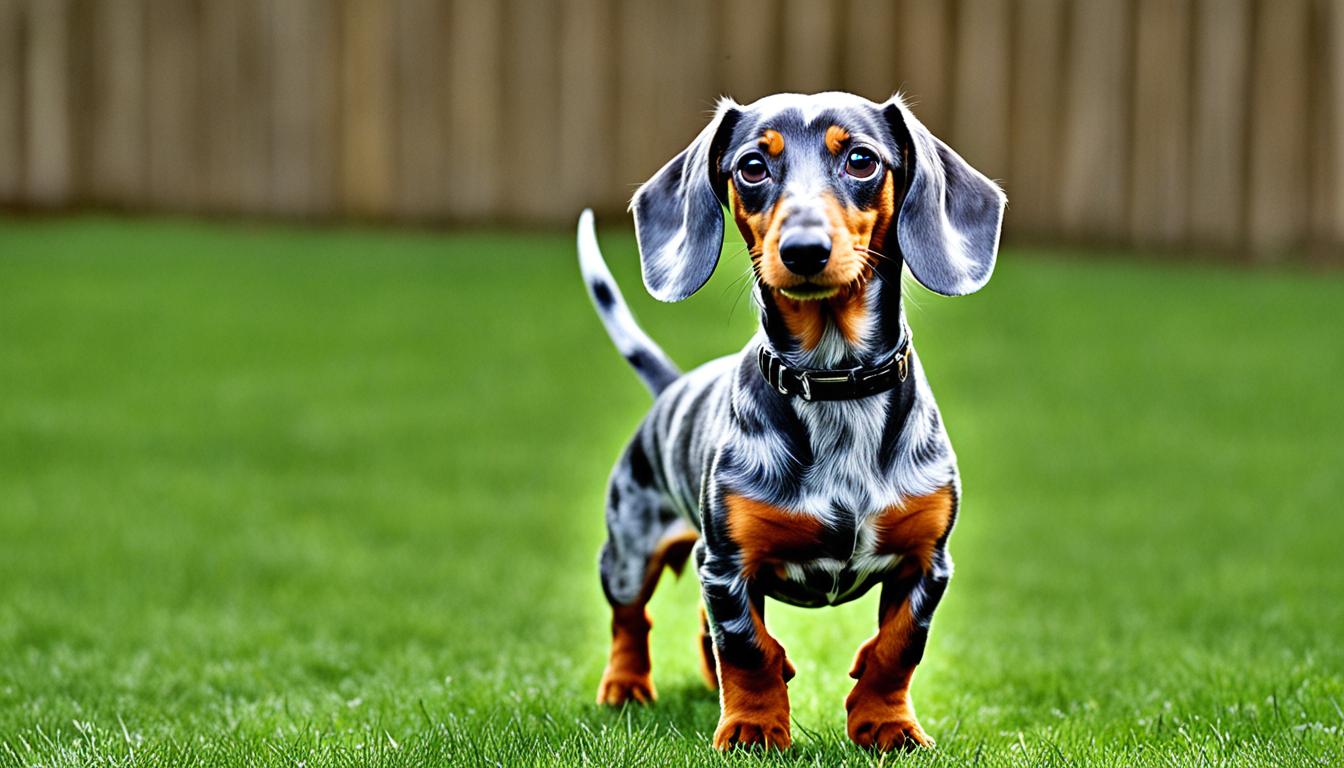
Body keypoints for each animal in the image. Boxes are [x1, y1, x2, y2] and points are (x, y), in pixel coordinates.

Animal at [577, 90, 1010, 753]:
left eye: (861, 159)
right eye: (753, 167)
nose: (804, 250)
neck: (834, 385)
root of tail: (672, 386)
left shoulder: (928, 563)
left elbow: (897, 648)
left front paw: (887, 724)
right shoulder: (728, 563)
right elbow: (748, 648)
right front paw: (753, 729)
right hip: (628, 549)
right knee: (633, 618)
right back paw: (626, 686)